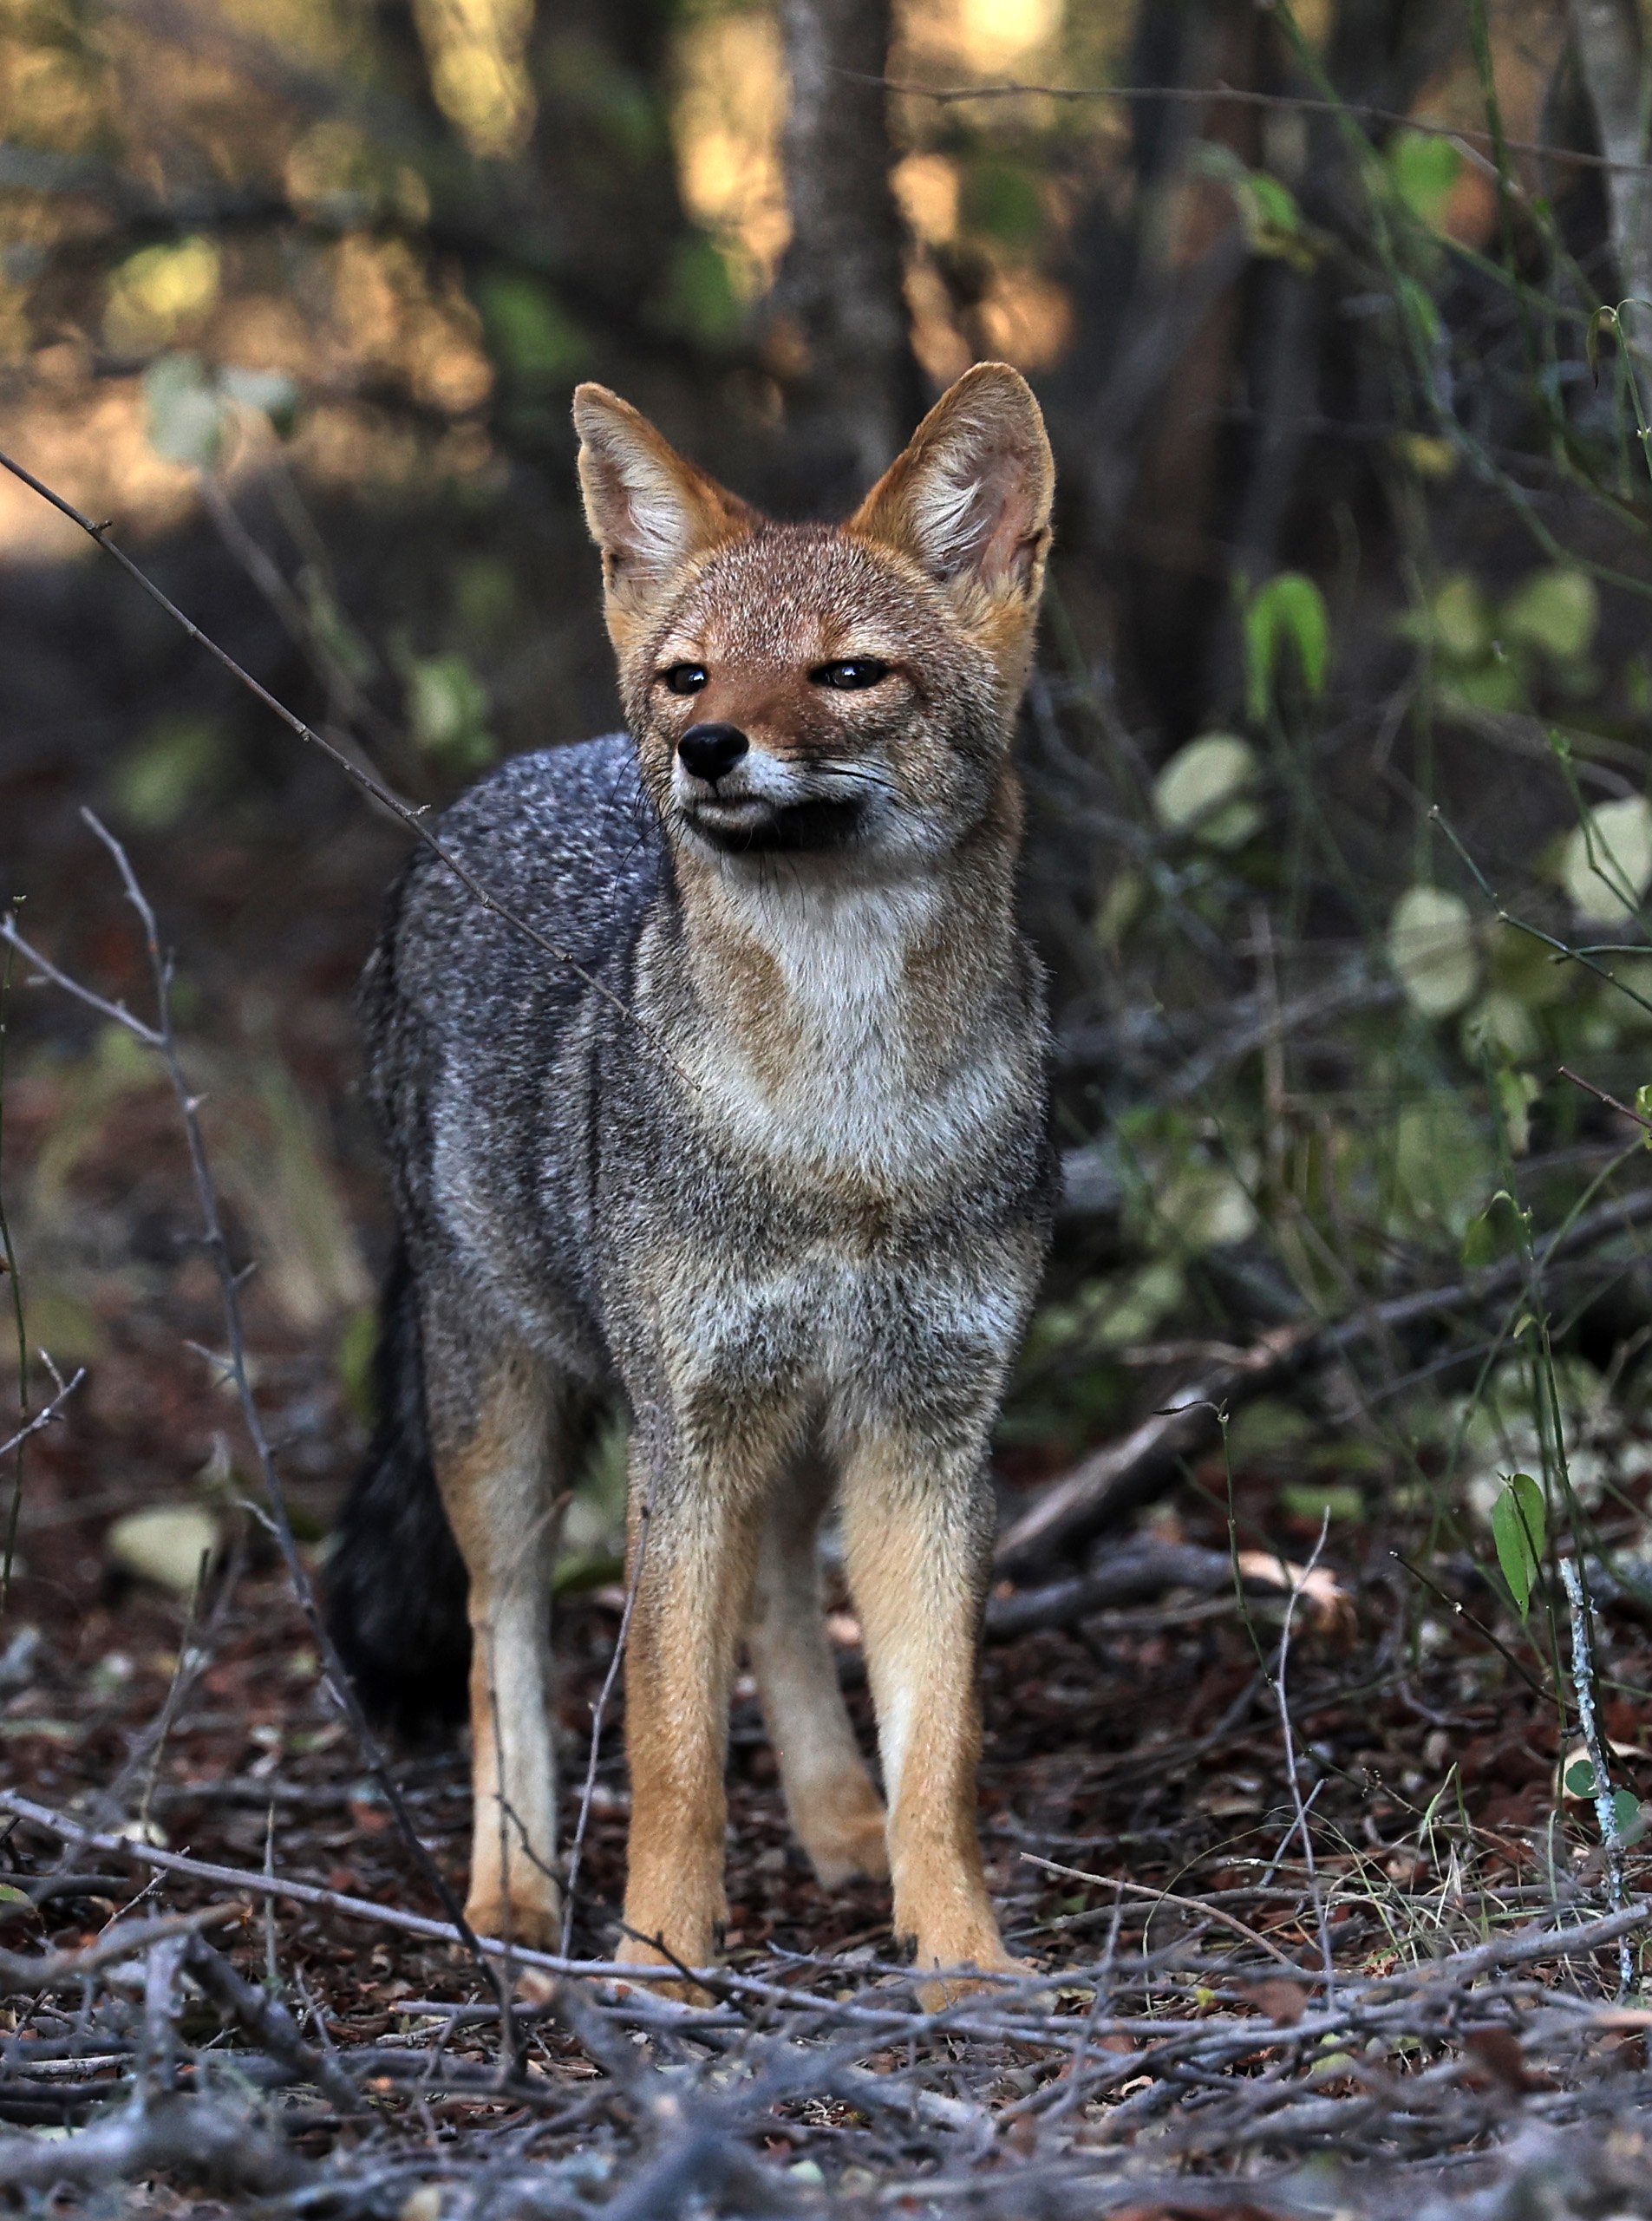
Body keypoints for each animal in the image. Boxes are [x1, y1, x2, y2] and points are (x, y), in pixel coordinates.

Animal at [326, 361, 1057, 1990]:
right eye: (690, 678)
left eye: (847, 673)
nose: (707, 751)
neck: (844, 1131)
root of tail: (509, 776)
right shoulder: (683, 1430)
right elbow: (666, 1738)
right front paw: (661, 1960)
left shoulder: (930, 1435)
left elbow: (944, 1748)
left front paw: (963, 1955)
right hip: (509, 1428)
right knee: (502, 1642)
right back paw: (514, 1895)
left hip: (782, 1430)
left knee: (778, 1605)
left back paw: (838, 1820)